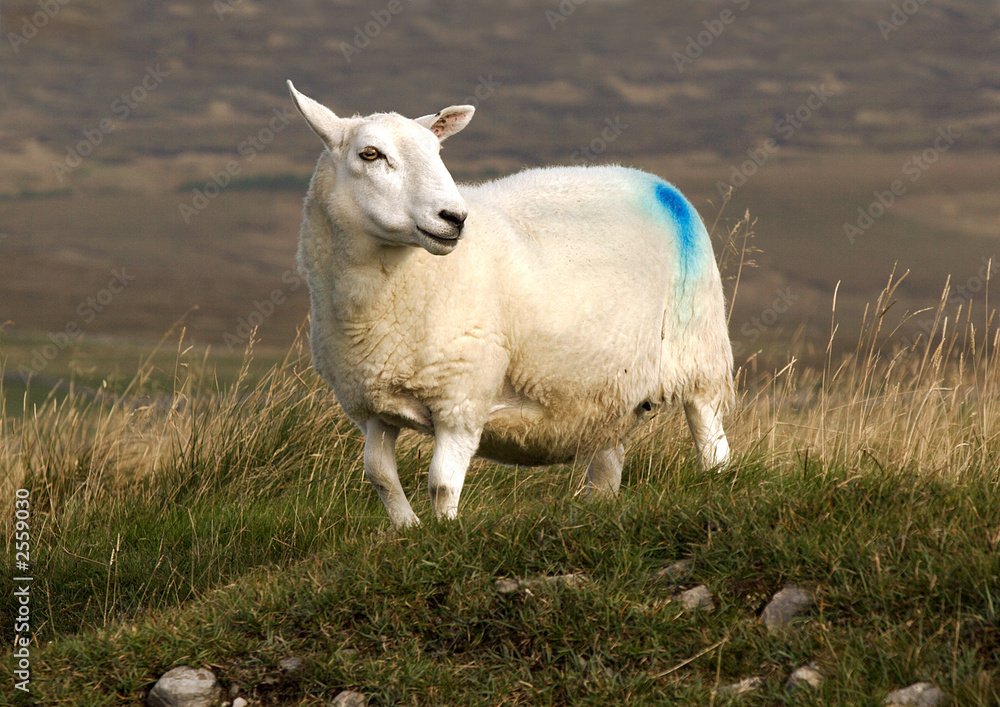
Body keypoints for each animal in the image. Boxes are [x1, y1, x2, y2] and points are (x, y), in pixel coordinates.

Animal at [287, 81, 734, 528]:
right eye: (370, 154)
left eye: (437, 150)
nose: (454, 218)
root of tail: (657, 184)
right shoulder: (372, 405)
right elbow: (381, 477)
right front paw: (407, 531)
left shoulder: (462, 398)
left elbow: (441, 484)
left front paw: (444, 532)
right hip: (606, 391)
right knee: (607, 465)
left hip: (701, 353)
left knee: (712, 440)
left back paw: (716, 484)